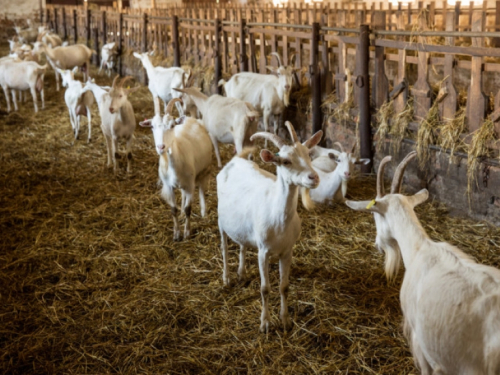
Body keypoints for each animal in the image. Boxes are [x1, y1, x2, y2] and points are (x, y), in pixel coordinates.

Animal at [139, 98, 213, 242]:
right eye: (152, 127)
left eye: (172, 125)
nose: (161, 147)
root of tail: (190, 118)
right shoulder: (169, 186)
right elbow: (174, 210)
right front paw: (176, 234)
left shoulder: (190, 185)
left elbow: (189, 208)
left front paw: (187, 233)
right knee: (183, 194)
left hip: (204, 170)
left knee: (202, 188)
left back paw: (203, 212)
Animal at [217, 122, 322, 332]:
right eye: (286, 161)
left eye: (308, 154)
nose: (313, 177)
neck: (279, 217)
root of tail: (235, 161)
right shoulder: (263, 251)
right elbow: (265, 288)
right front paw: (265, 323)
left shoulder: (288, 251)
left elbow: (284, 286)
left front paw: (286, 320)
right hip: (220, 220)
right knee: (224, 247)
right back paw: (227, 278)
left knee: (242, 244)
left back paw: (241, 273)